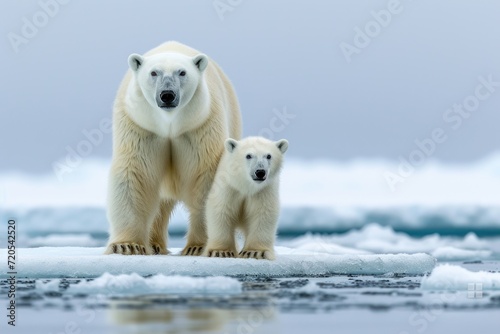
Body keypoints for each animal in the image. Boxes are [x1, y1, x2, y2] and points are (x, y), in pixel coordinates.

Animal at [104, 41, 241, 256]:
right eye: (154, 72)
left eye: (182, 72)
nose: (167, 95)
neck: (170, 123)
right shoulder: (141, 126)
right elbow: (135, 174)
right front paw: (126, 245)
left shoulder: (200, 125)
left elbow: (206, 177)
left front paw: (199, 247)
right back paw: (154, 245)